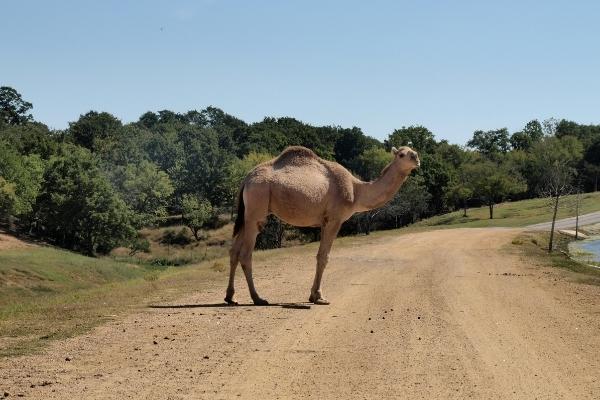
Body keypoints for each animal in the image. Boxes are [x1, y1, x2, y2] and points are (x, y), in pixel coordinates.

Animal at [226, 145, 422, 304]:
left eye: (413, 151)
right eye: (401, 154)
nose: (416, 158)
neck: (356, 190)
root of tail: (246, 179)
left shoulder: (323, 221)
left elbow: (321, 255)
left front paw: (314, 295)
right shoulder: (334, 219)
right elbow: (324, 257)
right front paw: (318, 296)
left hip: (246, 214)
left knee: (234, 251)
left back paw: (230, 297)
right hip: (257, 206)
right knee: (245, 254)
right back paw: (257, 298)